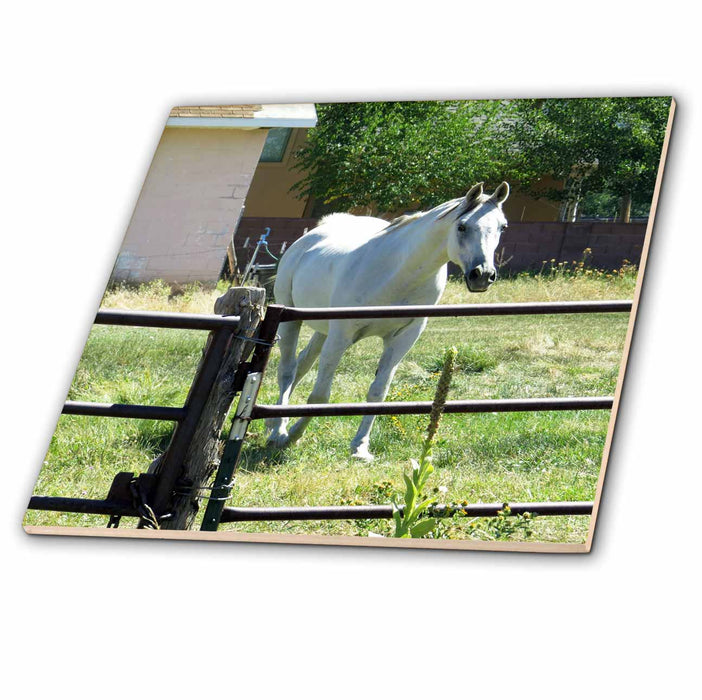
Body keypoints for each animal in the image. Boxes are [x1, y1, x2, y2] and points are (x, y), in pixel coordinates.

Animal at [270, 183, 512, 462]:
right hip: (293, 320)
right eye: (462, 226)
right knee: (287, 371)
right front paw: (292, 435)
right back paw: (276, 431)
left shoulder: (403, 337)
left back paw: (274, 422)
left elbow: (378, 392)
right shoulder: (341, 335)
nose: (482, 275)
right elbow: (320, 395)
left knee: (301, 365)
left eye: (502, 227)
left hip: (323, 331)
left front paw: (360, 447)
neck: (400, 274)